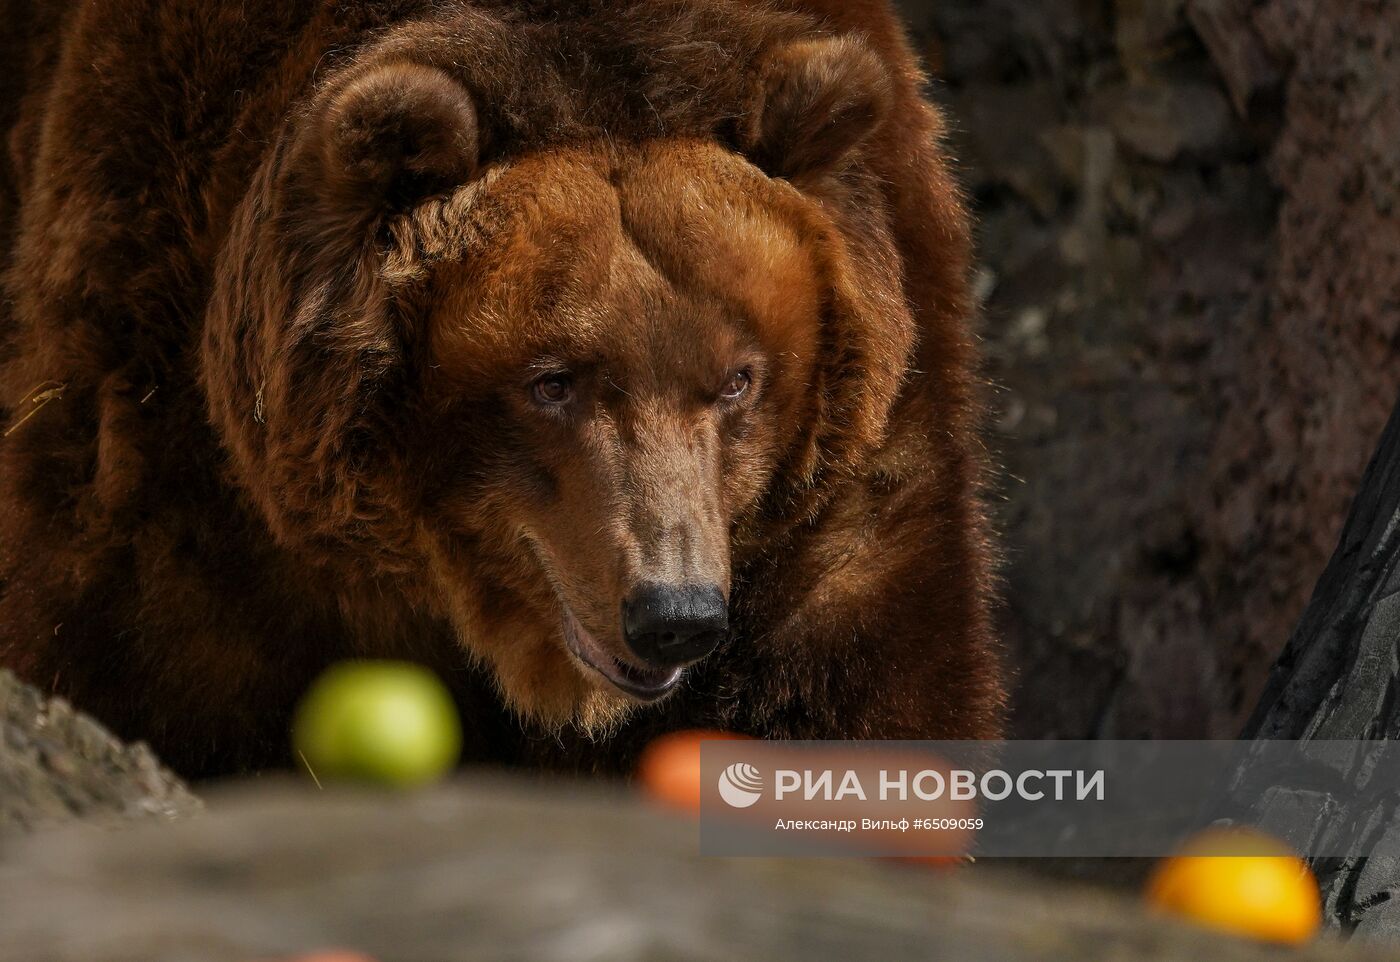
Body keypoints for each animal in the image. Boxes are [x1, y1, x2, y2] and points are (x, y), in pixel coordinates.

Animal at [0, 0, 1008, 772]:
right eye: (551, 382)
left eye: (738, 380)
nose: (672, 614)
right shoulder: (165, 403)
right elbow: (144, 664)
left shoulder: (837, 485)